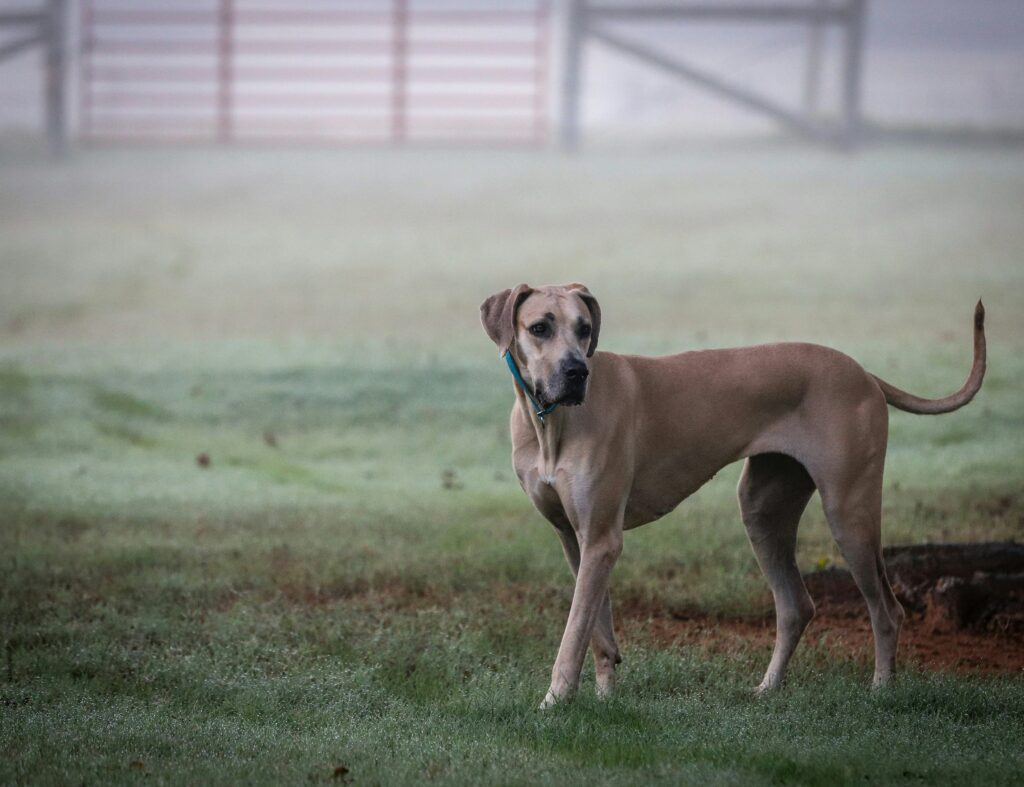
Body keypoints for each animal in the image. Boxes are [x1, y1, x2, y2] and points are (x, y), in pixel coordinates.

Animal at [479, 284, 983, 704]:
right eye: (540, 327)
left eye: (584, 328)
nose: (577, 371)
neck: (549, 423)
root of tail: (864, 373)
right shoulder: (576, 538)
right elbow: (595, 628)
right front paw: (603, 698)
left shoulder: (602, 538)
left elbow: (572, 635)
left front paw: (553, 703)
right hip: (762, 509)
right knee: (796, 605)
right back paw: (768, 688)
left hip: (849, 512)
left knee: (887, 610)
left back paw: (881, 691)